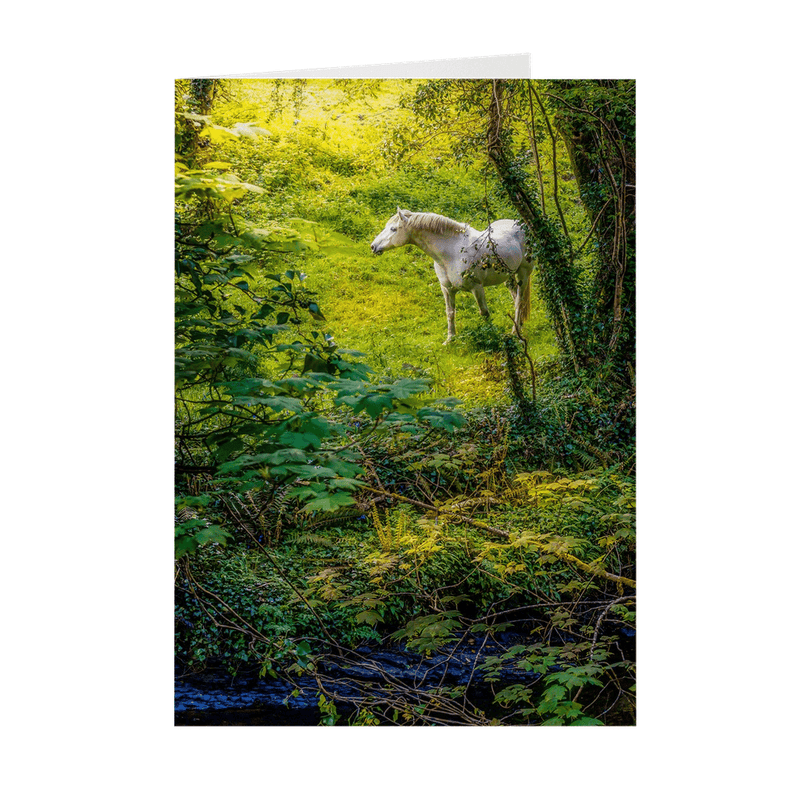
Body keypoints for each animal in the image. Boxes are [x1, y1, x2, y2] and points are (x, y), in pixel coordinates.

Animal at [370, 206, 532, 344]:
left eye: (393, 229)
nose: (373, 246)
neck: (452, 252)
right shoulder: (447, 289)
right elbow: (450, 313)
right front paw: (450, 339)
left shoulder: (477, 288)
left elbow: (484, 312)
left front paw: (490, 335)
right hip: (509, 276)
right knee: (515, 298)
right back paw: (519, 325)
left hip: (523, 274)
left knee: (519, 301)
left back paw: (515, 332)